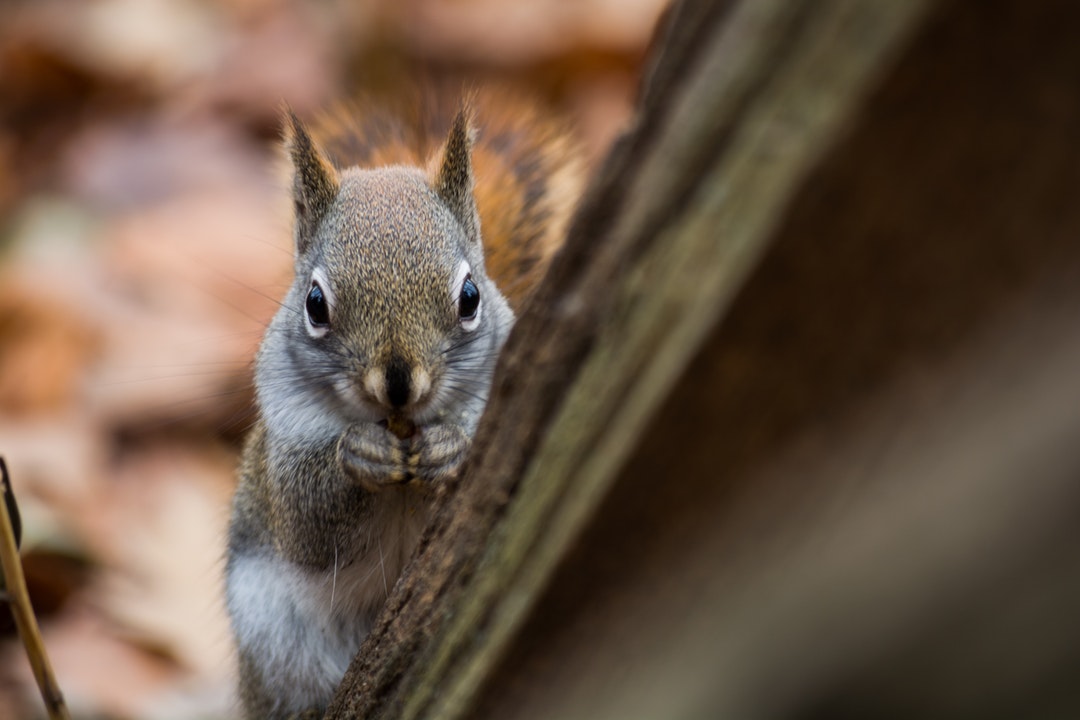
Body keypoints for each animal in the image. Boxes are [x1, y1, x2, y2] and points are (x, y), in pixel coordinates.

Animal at [224, 88, 584, 719]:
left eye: (471, 296)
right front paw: (359, 455)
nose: (397, 385)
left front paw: (450, 448)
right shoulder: (282, 438)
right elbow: (305, 523)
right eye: (314, 304)